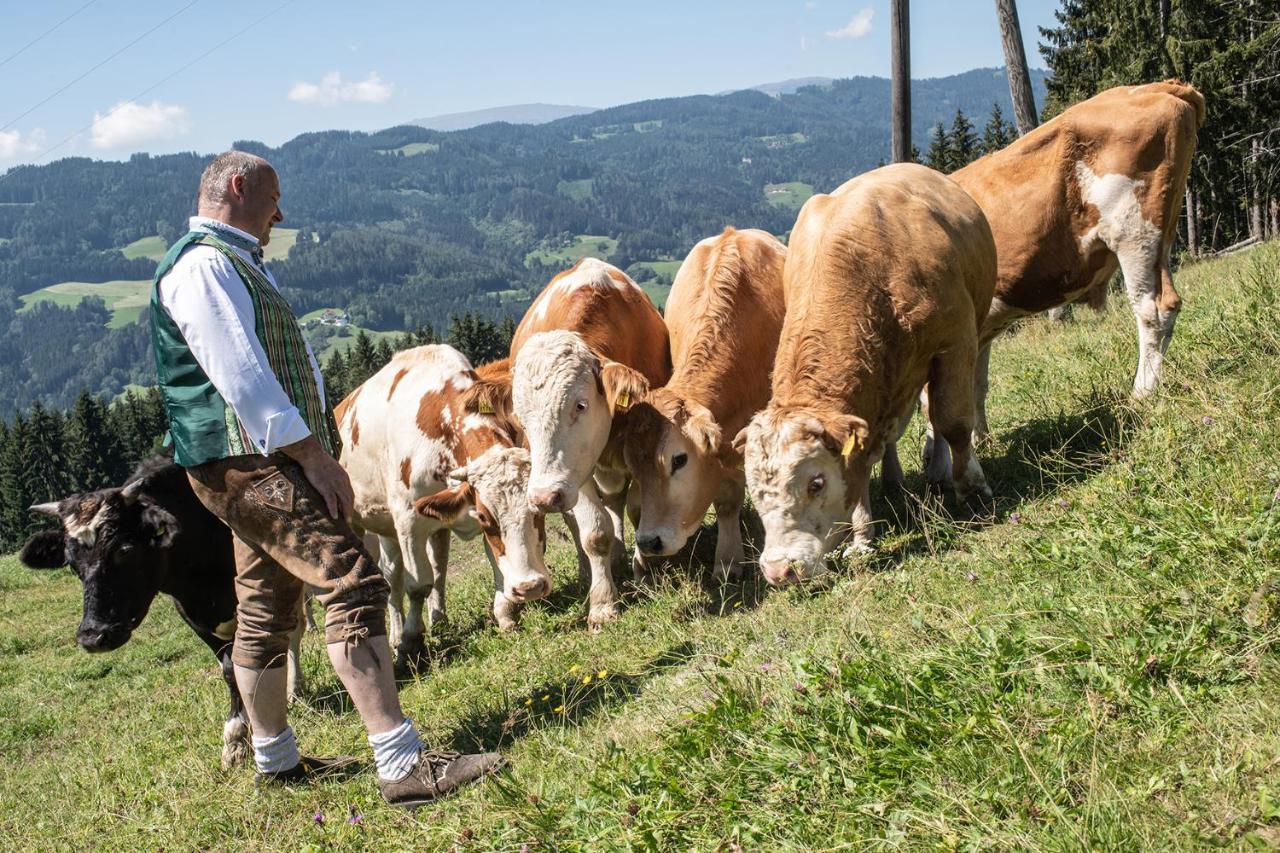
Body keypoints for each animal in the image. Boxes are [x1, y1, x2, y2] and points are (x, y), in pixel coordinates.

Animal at [19, 455, 304, 768]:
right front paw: (237, 738)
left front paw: (241, 734)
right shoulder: (194, 618)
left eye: (125, 549)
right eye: (71, 563)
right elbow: (230, 670)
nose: (93, 636)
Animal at [332, 340, 547, 645]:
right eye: (486, 517)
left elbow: (493, 563)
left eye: (537, 509)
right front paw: (411, 635)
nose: (530, 587)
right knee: (392, 578)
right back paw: (396, 635)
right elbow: (417, 584)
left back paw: (436, 620)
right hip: (367, 525)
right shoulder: (408, 519)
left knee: (425, 571)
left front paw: (505, 614)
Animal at [732, 162, 998, 581]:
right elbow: (860, 467)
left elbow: (954, 421)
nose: (779, 570)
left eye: (816, 482)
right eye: (754, 491)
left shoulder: (956, 341)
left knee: (941, 412)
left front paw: (971, 486)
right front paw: (862, 539)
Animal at [957, 80, 1203, 425]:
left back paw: (1141, 394)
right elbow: (975, 388)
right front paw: (979, 436)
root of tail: (1156, 87)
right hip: (1160, 235)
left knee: (1152, 309)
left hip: (1133, 231)